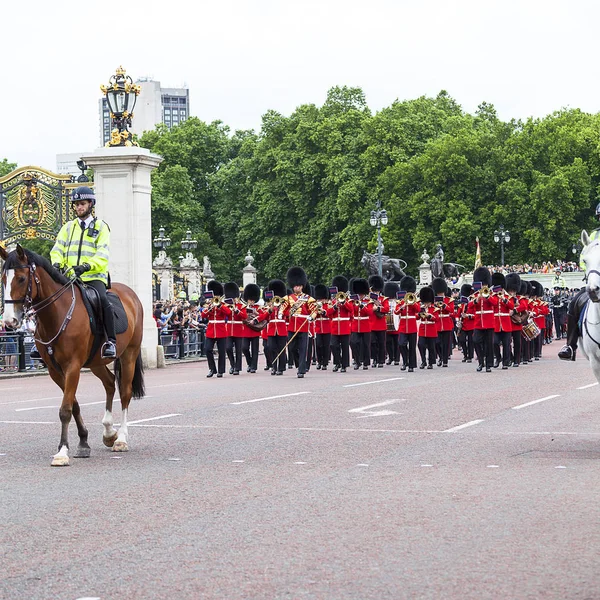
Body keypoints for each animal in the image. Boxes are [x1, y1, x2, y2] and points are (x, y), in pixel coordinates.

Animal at [0, 244, 145, 464]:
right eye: (3, 279)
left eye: (22, 278)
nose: (9, 321)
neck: (57, 314)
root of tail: (131, 294)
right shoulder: (56, 371)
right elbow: (73, 405)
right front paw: (83, 442)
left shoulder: (73, 366)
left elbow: (65, 409)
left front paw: (62, 452)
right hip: (96, 362)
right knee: (110, 383)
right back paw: (109, 431)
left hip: (129, 354)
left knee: (125, 392)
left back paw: (121, 438)